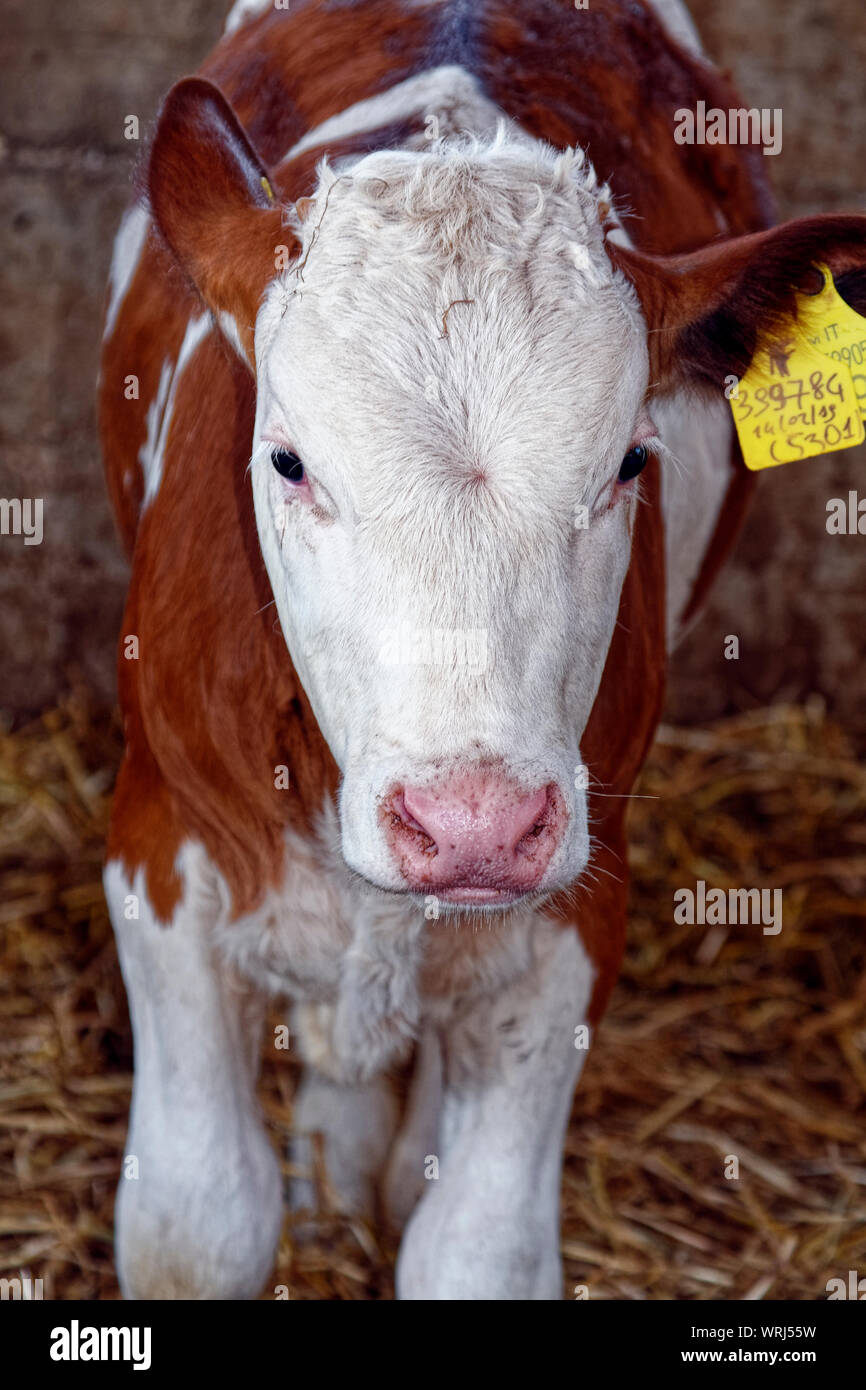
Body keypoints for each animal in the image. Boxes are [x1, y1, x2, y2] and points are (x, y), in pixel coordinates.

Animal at [99, 0, 866, 1299]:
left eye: (630, 461)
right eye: (288, 460)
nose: (471, 826)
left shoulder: (573, 920)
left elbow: (476, 1249)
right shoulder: (158, 845)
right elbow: (195, 1227)